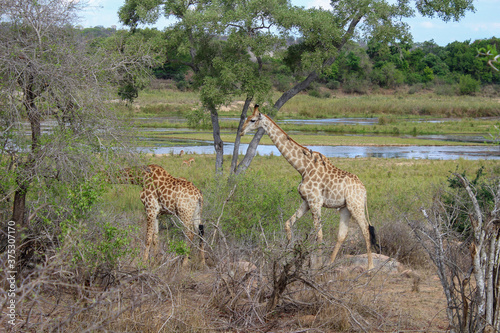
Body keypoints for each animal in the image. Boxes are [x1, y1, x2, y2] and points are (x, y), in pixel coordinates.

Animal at [240, 105, 376, 268]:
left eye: (252, 120)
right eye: (247, 118)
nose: (241, 131)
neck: (302, 168)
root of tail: (364, 190)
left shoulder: (315, 201)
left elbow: (319, 235)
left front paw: (316, 265)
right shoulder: (306, 201)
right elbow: (288, 223)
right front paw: (288, 253)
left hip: (356, 206)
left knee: (365, 230)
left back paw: (370, 267)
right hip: (345, 208)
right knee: (342, 235)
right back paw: (330, 263)